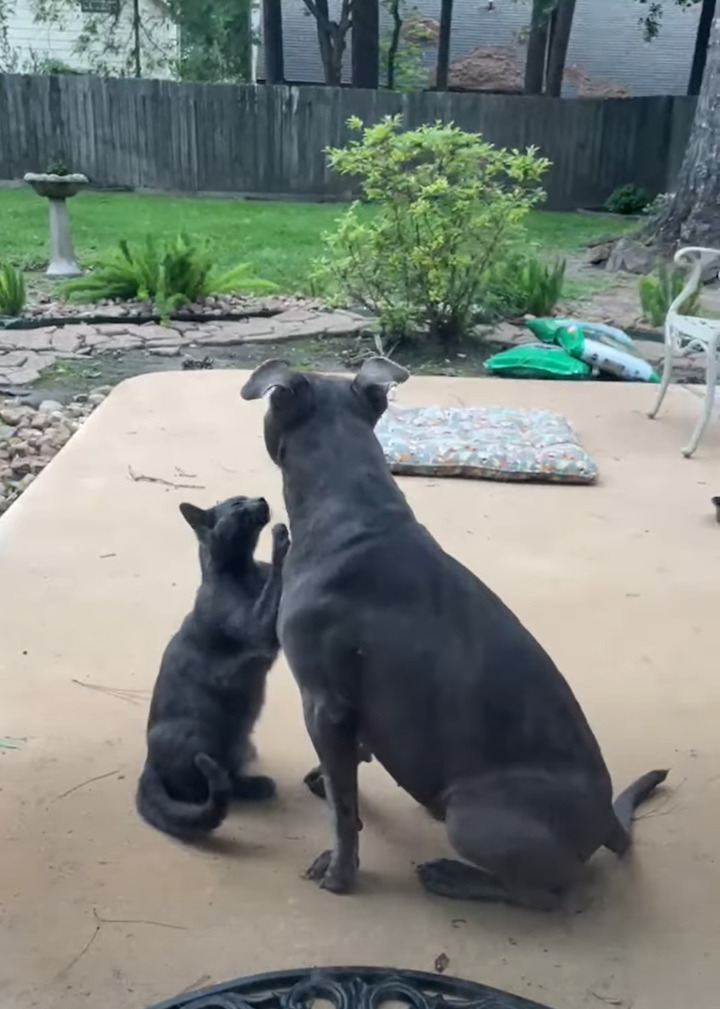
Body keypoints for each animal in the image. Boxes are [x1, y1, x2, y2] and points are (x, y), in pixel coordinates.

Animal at [136, 492, 288, 839]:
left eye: (247, 495)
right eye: (237, 504)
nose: (260, 497)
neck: (246, 571)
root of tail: (148, 762)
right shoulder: (257, 629)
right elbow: (274, 586)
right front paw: (282, 539)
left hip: (239, 737)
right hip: (203, 736)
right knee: (205, 787)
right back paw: (257, 787)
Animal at [240, 359, 661, 912]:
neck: (353, 513)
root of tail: (608, 820)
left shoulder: (323, 701)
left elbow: (343, 812)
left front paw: (339, 871)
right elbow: (344, 779)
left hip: (473, 816)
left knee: (541, 895)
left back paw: (452, 877)